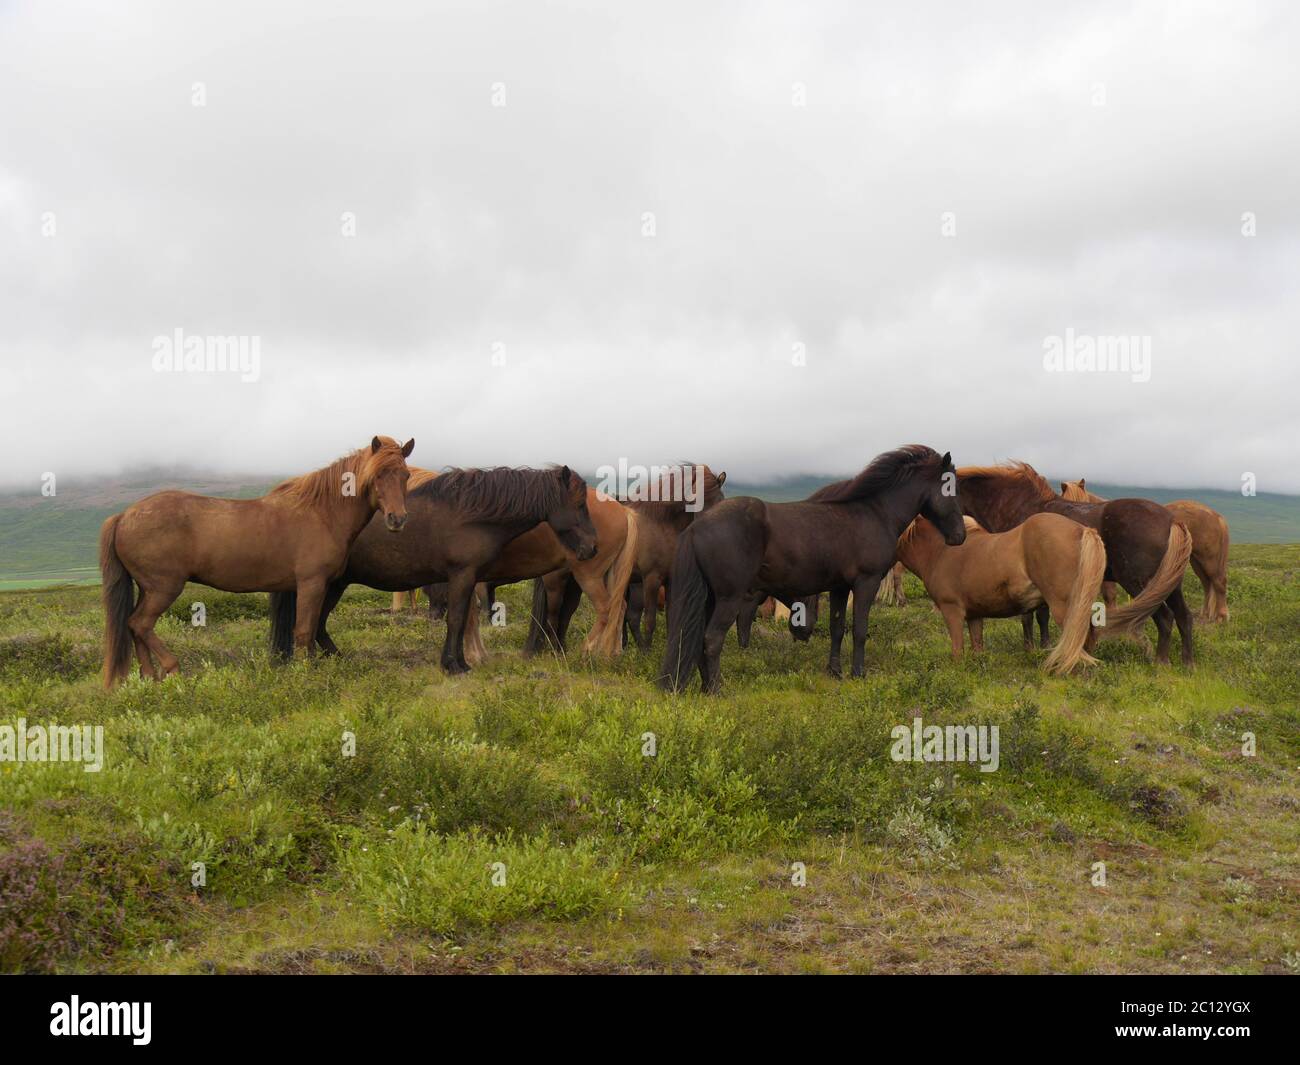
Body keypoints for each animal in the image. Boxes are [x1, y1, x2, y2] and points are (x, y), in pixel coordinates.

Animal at [102, 436, 416, 686]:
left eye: (404, 475)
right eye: (378, 475)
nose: (397, 519)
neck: (322, 513)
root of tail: (124, 516)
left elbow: (311, 628)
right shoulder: (311, 583)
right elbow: (304, 631)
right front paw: (305, 673)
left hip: (147, 589)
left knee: (134, 625)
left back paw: (148, 678)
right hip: (164, 588)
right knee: (141, 624)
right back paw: (171, 669)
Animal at [276, 465, 600, 676]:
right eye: (580, 504)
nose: (592, 548)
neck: (473, 515)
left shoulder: (467, 579)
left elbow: (460, 618)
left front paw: (461, 662)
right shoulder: (462, 576)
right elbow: (455, 620)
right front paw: (453, 665)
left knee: (317, 624)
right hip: (329, 585)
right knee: (314, 623)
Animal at [660, 444, 967, 696]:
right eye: (949, 487)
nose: (960, 536)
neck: (875, 512)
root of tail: (697, 526)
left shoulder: (840, 587)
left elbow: (837, 628)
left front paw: (835, 671)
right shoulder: (865, 583)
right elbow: (860, 630)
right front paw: (858, 673)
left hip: (711, 598)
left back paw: (704, 687)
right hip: (729, 598)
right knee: (712, 639)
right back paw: (715, 690)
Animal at [1055, 481, 1227, 624]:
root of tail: (1216, 516)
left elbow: (1109, 594)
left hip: (1208, 559)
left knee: (1219, 582)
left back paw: (1221, 617)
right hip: (1196, 561)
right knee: (1207, 583)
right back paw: (1206, 614)